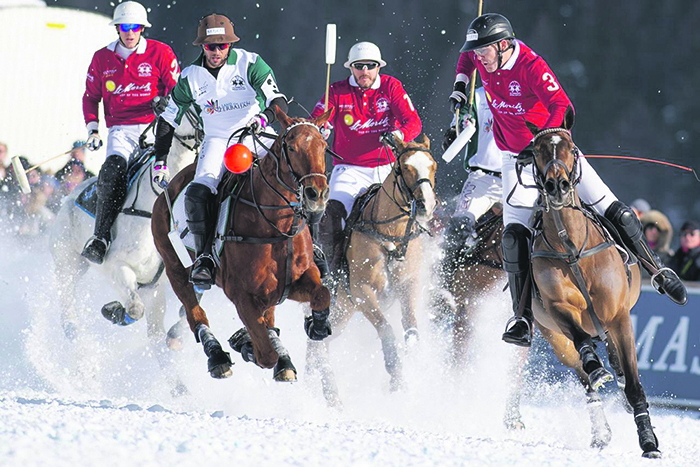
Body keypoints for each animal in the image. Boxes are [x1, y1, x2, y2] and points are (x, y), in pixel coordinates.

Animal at [51, 109, 200, 392]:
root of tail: (72, 194)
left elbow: (180, 316)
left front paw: (177, 336)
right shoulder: (116, 266)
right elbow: (134, 309)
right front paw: (113, 311)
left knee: (154, 334)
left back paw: (179, 386)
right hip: (69, 261)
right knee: (67, 307)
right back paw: (82, 352)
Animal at [152, 108, 332, 382]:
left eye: (323, 145)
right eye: (291, 147)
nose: (317, 194)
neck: (275, 226)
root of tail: (170, 186)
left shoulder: (296, 279)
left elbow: (322, 294)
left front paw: (317, 325)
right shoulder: (241, 295)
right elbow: (265, 354)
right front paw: (245, 343)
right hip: (175, 269)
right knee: (196, 315)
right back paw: (218, 356)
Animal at [308, 133, 434, 404]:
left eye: (433, 166)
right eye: (403, 168)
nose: (427, 205)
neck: (390, 234)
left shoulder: (409, 284)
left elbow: (411, 326)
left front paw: (416, 364)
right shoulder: (362, 292)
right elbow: (386, 329)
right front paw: (397, 378)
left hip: (341, 313)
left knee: (319, 344)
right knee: (317, 345)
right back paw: (328, 393)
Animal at [528, 105, 660, 458]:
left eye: (571, 148)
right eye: (537, 151)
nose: (557, 186)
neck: (572, 248)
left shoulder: (620, 317)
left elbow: (634, 385)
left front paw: (649, 442)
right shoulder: (558, 309)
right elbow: (583, 347)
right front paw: (595, 364)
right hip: (552, 336)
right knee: (586, 380)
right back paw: (600, 429)